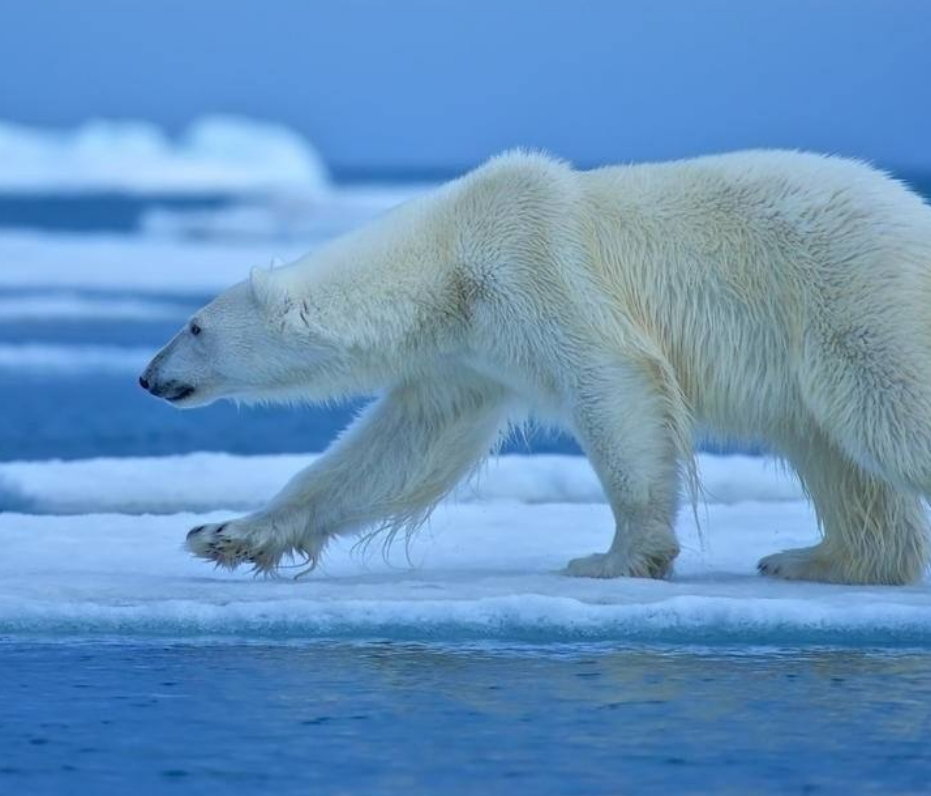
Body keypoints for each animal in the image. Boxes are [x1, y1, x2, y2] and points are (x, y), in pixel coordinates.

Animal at [138, 149, 931, 584]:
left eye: (194, 325)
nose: (147, 377)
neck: (450, 256)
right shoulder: (469, 352)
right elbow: (399, 448)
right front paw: (225, 535)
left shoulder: (538, 269)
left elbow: (612, 387)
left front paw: (617, 557)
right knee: (833, 456)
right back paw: (814, 557)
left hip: (852, 298)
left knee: (887, 412)